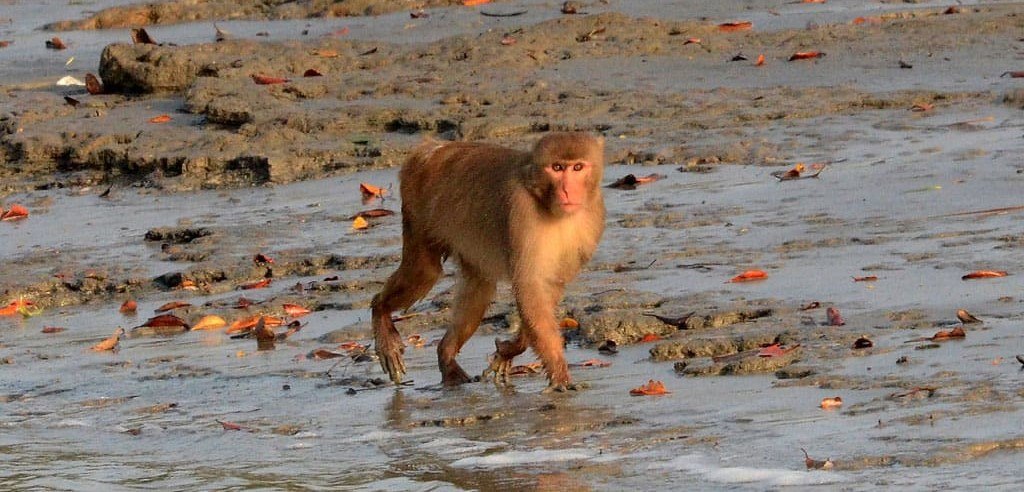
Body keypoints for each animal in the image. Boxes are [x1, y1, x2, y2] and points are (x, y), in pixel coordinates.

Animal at [371, 132, 605, 392]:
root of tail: (431, 149)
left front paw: (509, 351)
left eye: (577, 167)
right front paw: (559, 374)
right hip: (418, 202)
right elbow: (529, 285)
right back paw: (380, 311)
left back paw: (446, 355)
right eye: (557, 168)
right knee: (425, 272)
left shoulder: (593, 215)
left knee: (479, 285)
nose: (567, 190)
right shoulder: (523, 212)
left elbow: (549, 286)